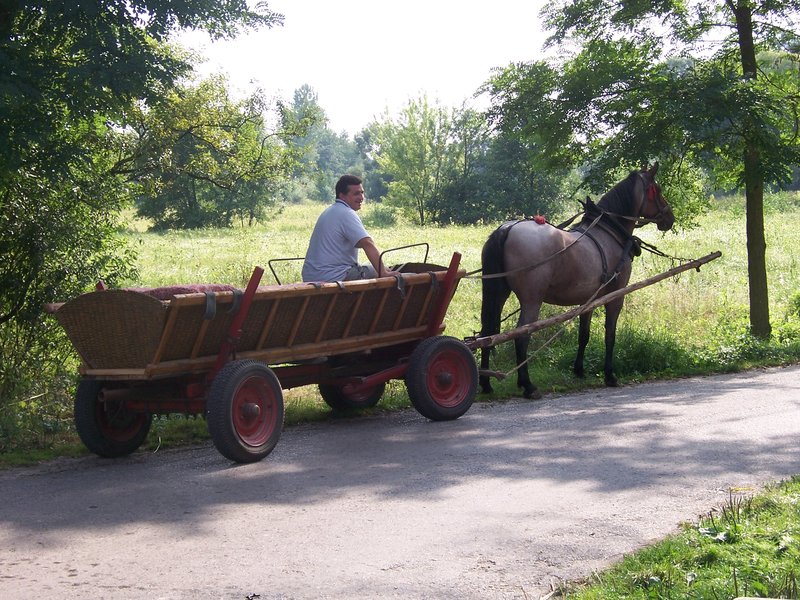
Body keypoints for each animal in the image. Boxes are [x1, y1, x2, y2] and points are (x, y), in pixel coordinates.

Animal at [482, 163, 676, 398]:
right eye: (658, 189)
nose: (670, 218)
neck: (609, 231)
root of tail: (507, 228)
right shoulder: (615, 296)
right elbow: (610, 334)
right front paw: (610, 375)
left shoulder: (588, 300)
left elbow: (584, 334)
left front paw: (579, 370)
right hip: (531, 300)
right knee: (521, 336)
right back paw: (528, 385)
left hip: (498, 293)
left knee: (487, 334)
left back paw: (486, 383)